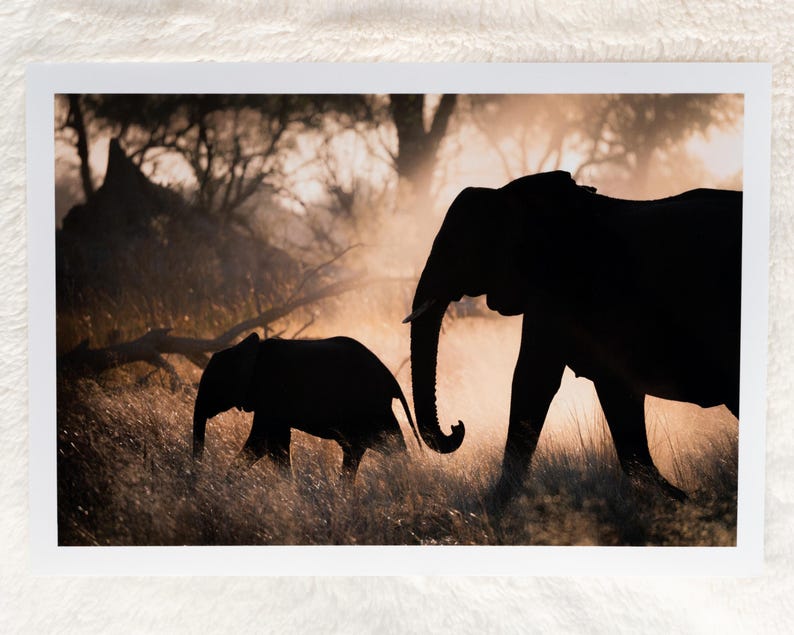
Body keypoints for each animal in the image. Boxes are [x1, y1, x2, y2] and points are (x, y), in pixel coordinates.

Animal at [192, 333, 420, 481]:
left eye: (213, 385)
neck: (242, 349)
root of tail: (391, 378)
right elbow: (272, 444)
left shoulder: (271, 396)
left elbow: (264, 443)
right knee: (373, 447)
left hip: (370, 408)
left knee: (382, 445)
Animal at [404, 170, 741, 504]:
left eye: (458, 249)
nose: (457, 427)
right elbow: (615, 397)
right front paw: (683, 499)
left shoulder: (559, 288)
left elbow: (532, 380)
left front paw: (491, 505)